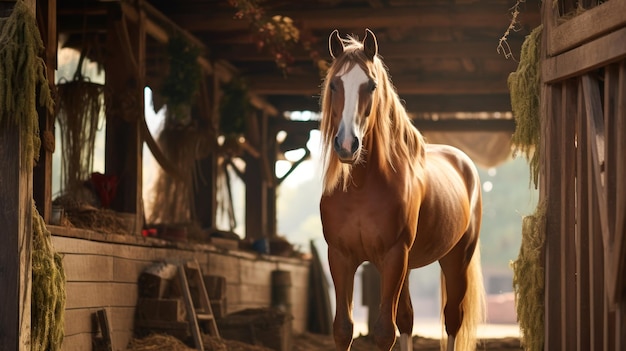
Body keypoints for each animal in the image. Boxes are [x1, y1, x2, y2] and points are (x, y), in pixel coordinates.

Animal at [320, 30, 486, 351]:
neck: (361, 188)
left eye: (371, 85)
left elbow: (385, 331)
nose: (347, 145)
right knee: (408, 319)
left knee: (452, 319)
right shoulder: (340, 256)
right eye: (334, 84)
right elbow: (343, 329)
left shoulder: (394, 255)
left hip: (456, 258)